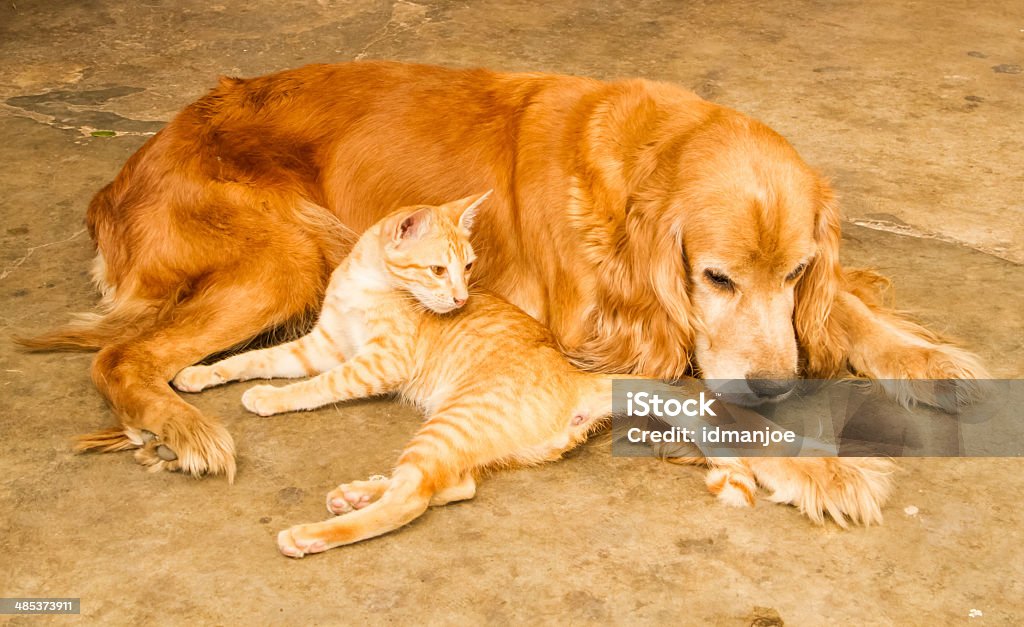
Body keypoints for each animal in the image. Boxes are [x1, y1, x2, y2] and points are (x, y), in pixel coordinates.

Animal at [22, 62, 983, 524]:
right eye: (715, 276)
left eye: (793, 273)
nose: (779, 386)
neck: (635, 172)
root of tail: (122, 174)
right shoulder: (595, 336)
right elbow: (713, 401)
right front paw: (823, 467)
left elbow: (848, 309)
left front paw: (932, 360)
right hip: (286, 256)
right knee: (123, 354)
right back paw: (181, 430)